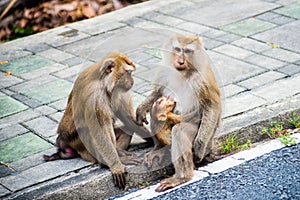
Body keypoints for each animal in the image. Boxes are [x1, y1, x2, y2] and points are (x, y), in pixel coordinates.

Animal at [44, 51, 157, 189]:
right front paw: (116, 166)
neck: (104, 82)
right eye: (128, 73)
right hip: (80, 144)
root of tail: (62, 141)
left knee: (126, 131)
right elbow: (100, 132)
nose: (132, 81)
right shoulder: (95, 98)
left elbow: (129, 120)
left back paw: (119, 151)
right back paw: (112, 160)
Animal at [136, 35, 220, 191]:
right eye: (177, 49)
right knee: (156, 116)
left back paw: (182, 177)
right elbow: (158, 93)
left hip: (203, 133)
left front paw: (199, 146)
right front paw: (142, 108)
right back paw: (159, 149)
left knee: (180, 132)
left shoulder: (202, 78)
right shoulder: (164, 71)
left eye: (187, 51)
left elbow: (211, 106)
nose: (180, 61)